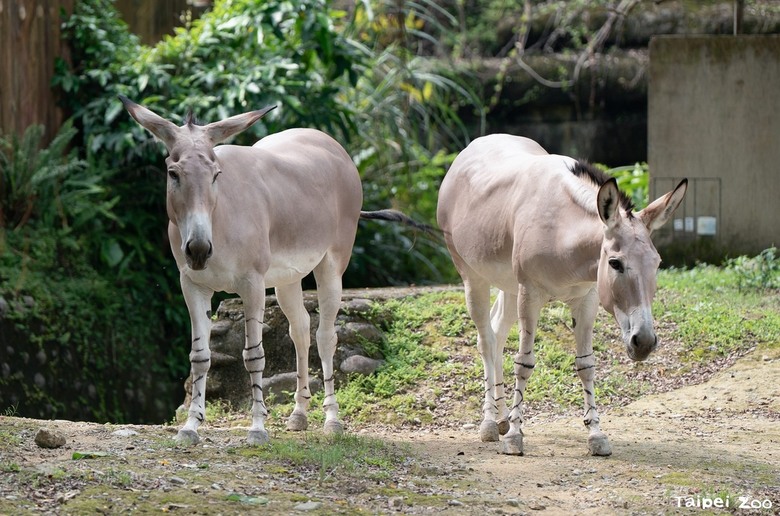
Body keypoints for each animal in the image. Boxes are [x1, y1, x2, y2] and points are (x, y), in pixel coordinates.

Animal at [120, 96, 423, 445]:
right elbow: (199, 356)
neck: (220, 218)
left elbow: (254, 355)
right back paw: (299, 414)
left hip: (332, 265)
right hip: (286, 278)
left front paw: (257, 428)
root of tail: (329, 142)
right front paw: (191, 426)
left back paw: (332, 420)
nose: (198, 250)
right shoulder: (192, 284)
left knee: (325, 336)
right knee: (300, 329)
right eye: (173, 173)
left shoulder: (252, 284)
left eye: (216, 174)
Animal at [436, 134, 687, 456]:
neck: (563, 232)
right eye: (615, 263)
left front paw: (596, 435)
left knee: (497, 333)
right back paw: (491, 423)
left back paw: (502, 416)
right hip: (473, 277)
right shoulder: (530, 295)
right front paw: (515, 437)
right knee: (486, 341)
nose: (643, 343)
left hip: (508, 285)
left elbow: (586, 365)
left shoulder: (587, 299)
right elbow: (524, 363)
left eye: (658, 263)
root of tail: (473, 146)